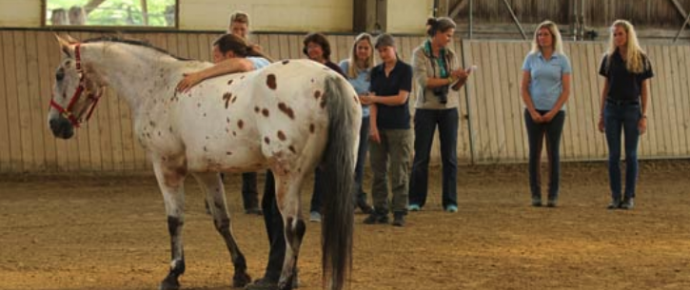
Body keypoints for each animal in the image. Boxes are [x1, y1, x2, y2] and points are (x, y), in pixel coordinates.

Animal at [47, 34, 360, 290]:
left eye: (60, 74)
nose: (55, 125)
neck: (158, 84)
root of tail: (329, 79)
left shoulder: (166, 166)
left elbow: (174, 220)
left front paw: (173, 274)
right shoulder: (206, 172)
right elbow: (222, 221)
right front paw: (240, 271)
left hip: (288, 175)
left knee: (293, 227)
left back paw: (283, 282)